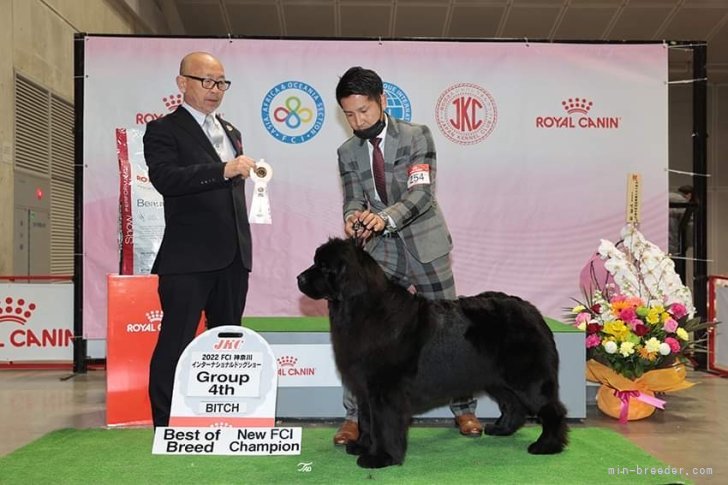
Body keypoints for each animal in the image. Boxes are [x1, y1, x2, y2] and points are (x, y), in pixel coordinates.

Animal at [296, 236, 568, 466]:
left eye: (324, 267)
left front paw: (380, 458)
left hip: (527, 378)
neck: (364, 311)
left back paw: (547, 446)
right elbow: (366, 420)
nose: (299, 278)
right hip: (497, 378)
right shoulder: (364, 388)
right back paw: (501, 429)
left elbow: (383, 424)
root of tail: (532, 310)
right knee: (513, 405)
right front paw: (362, 446)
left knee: (551, 409)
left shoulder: (385, 390)